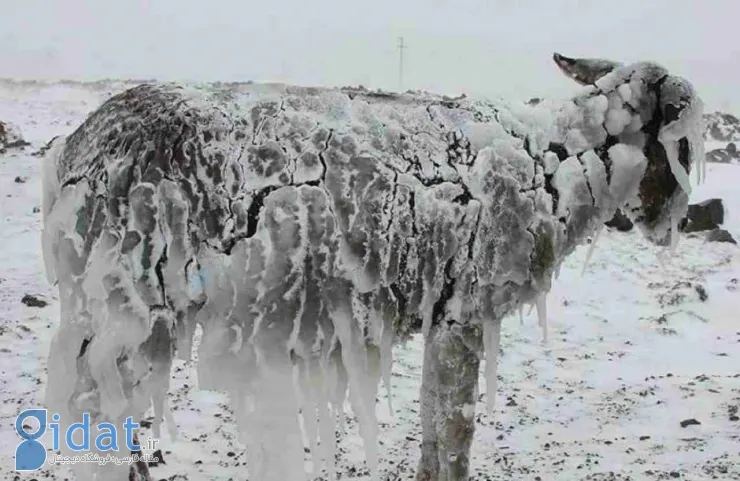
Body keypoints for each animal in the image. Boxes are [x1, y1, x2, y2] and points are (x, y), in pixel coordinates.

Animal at [40, 52, 704, 480]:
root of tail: (75, 152)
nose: (669, 217)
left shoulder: (443, 313)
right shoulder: (467, 307)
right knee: (96, 409)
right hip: (133, 290)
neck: (555, 159)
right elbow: (454, 437)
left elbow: (435, 427)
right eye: (679, 132)